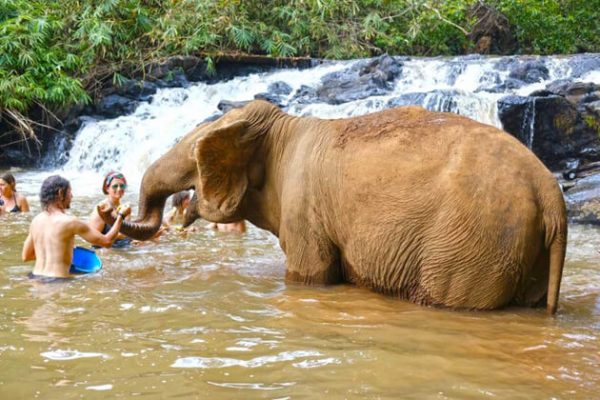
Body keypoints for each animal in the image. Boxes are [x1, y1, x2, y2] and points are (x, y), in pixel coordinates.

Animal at [101, 99, 568, 312]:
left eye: (193, 153)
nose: (118, 213)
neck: (281, 128)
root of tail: (551, 195)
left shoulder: (303, 206)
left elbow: (310, 274)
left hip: (470, 244)